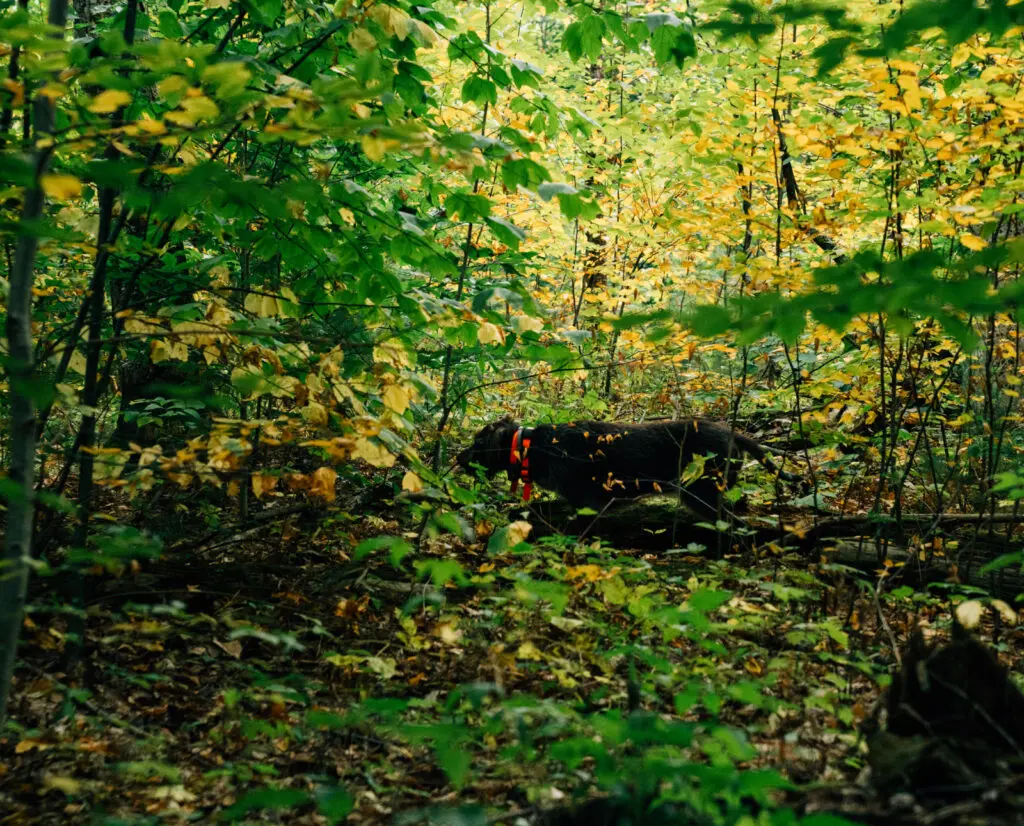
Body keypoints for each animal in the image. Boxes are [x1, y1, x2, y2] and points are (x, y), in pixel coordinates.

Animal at [456, 419, 798, 515]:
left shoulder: (586, 503)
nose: (457, 458)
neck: (532, 446)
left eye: (477, 442)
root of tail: (734, 433)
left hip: (698, 493)